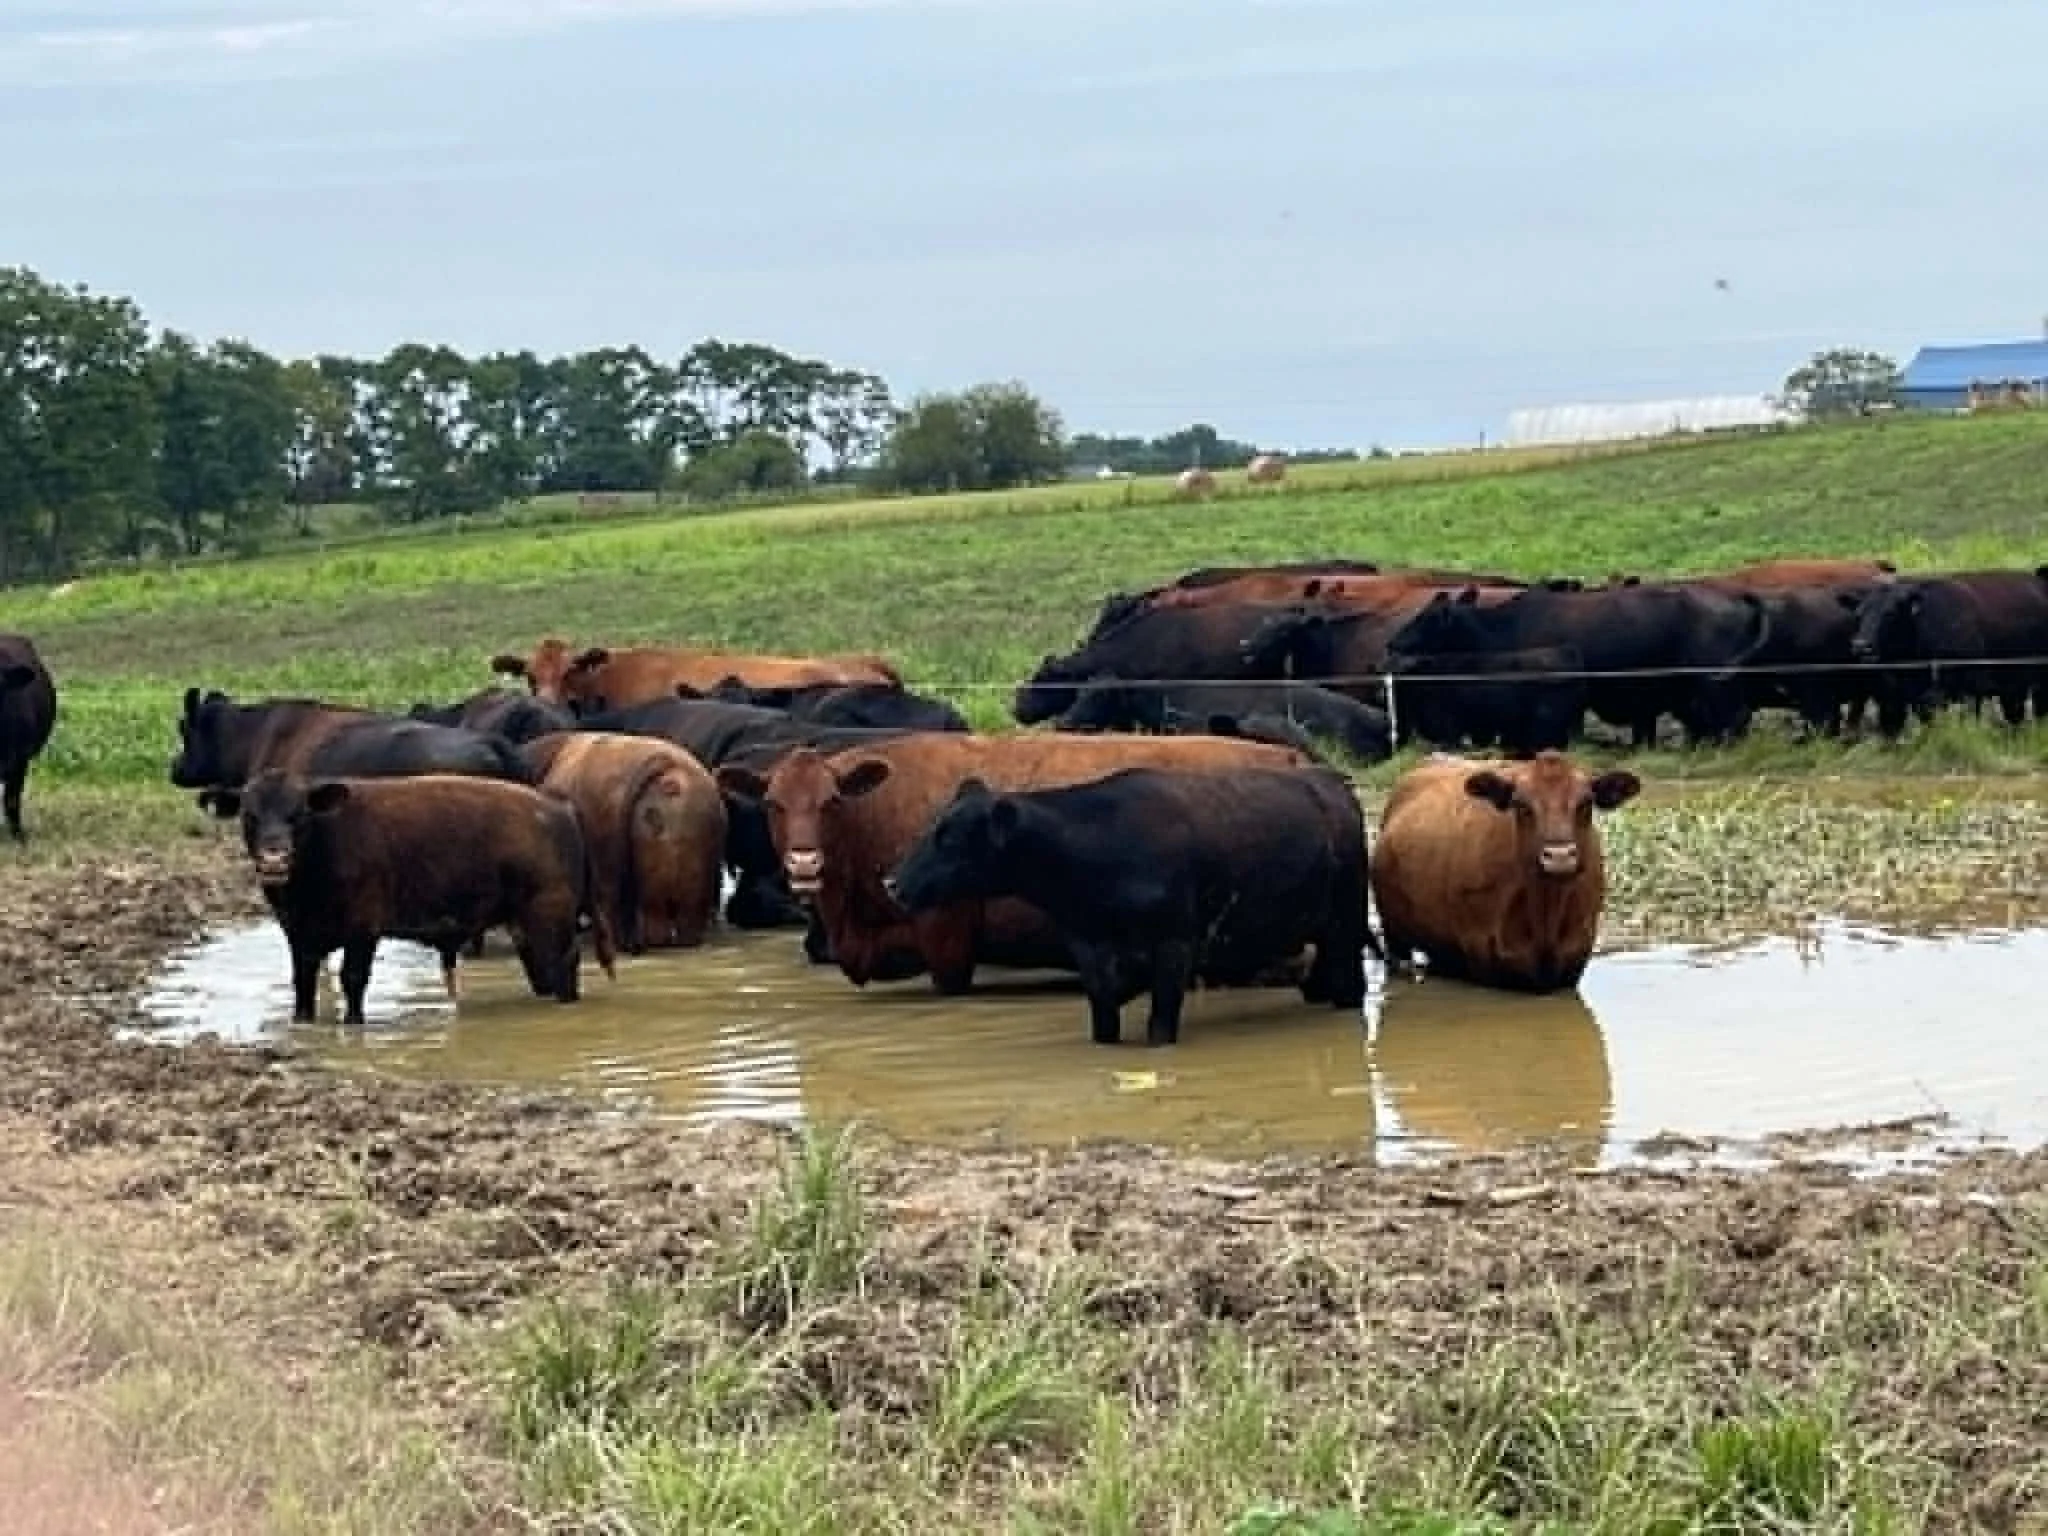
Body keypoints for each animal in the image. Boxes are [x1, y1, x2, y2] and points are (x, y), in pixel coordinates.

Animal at [198, 770, 617, 1024]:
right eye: (249, 815)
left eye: (298, 813)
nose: (274, 858)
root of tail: (558, 806)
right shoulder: (299, 936)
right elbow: (302, 984)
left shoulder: (363, 929)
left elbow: (353, 980)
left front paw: (354, 1025)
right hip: (526, 925)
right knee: (542, 971)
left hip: (550, 918)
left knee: (563, 965)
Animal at [885, 766, 1369, 1046]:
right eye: (930, 829)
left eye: (950, 840)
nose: (892, 883)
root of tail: (1333, 785)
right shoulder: (1088, 947)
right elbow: (1104, 1017)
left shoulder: (1175, 944)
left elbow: (1160, 1025)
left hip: (1346, 924)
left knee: (1350, 986)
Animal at [1370, 752, 1641, 994]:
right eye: (1521, 805)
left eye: (1586, 803)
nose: (1560, 856)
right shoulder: (1481, 953)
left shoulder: (1575, 960)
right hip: (1394, 934)